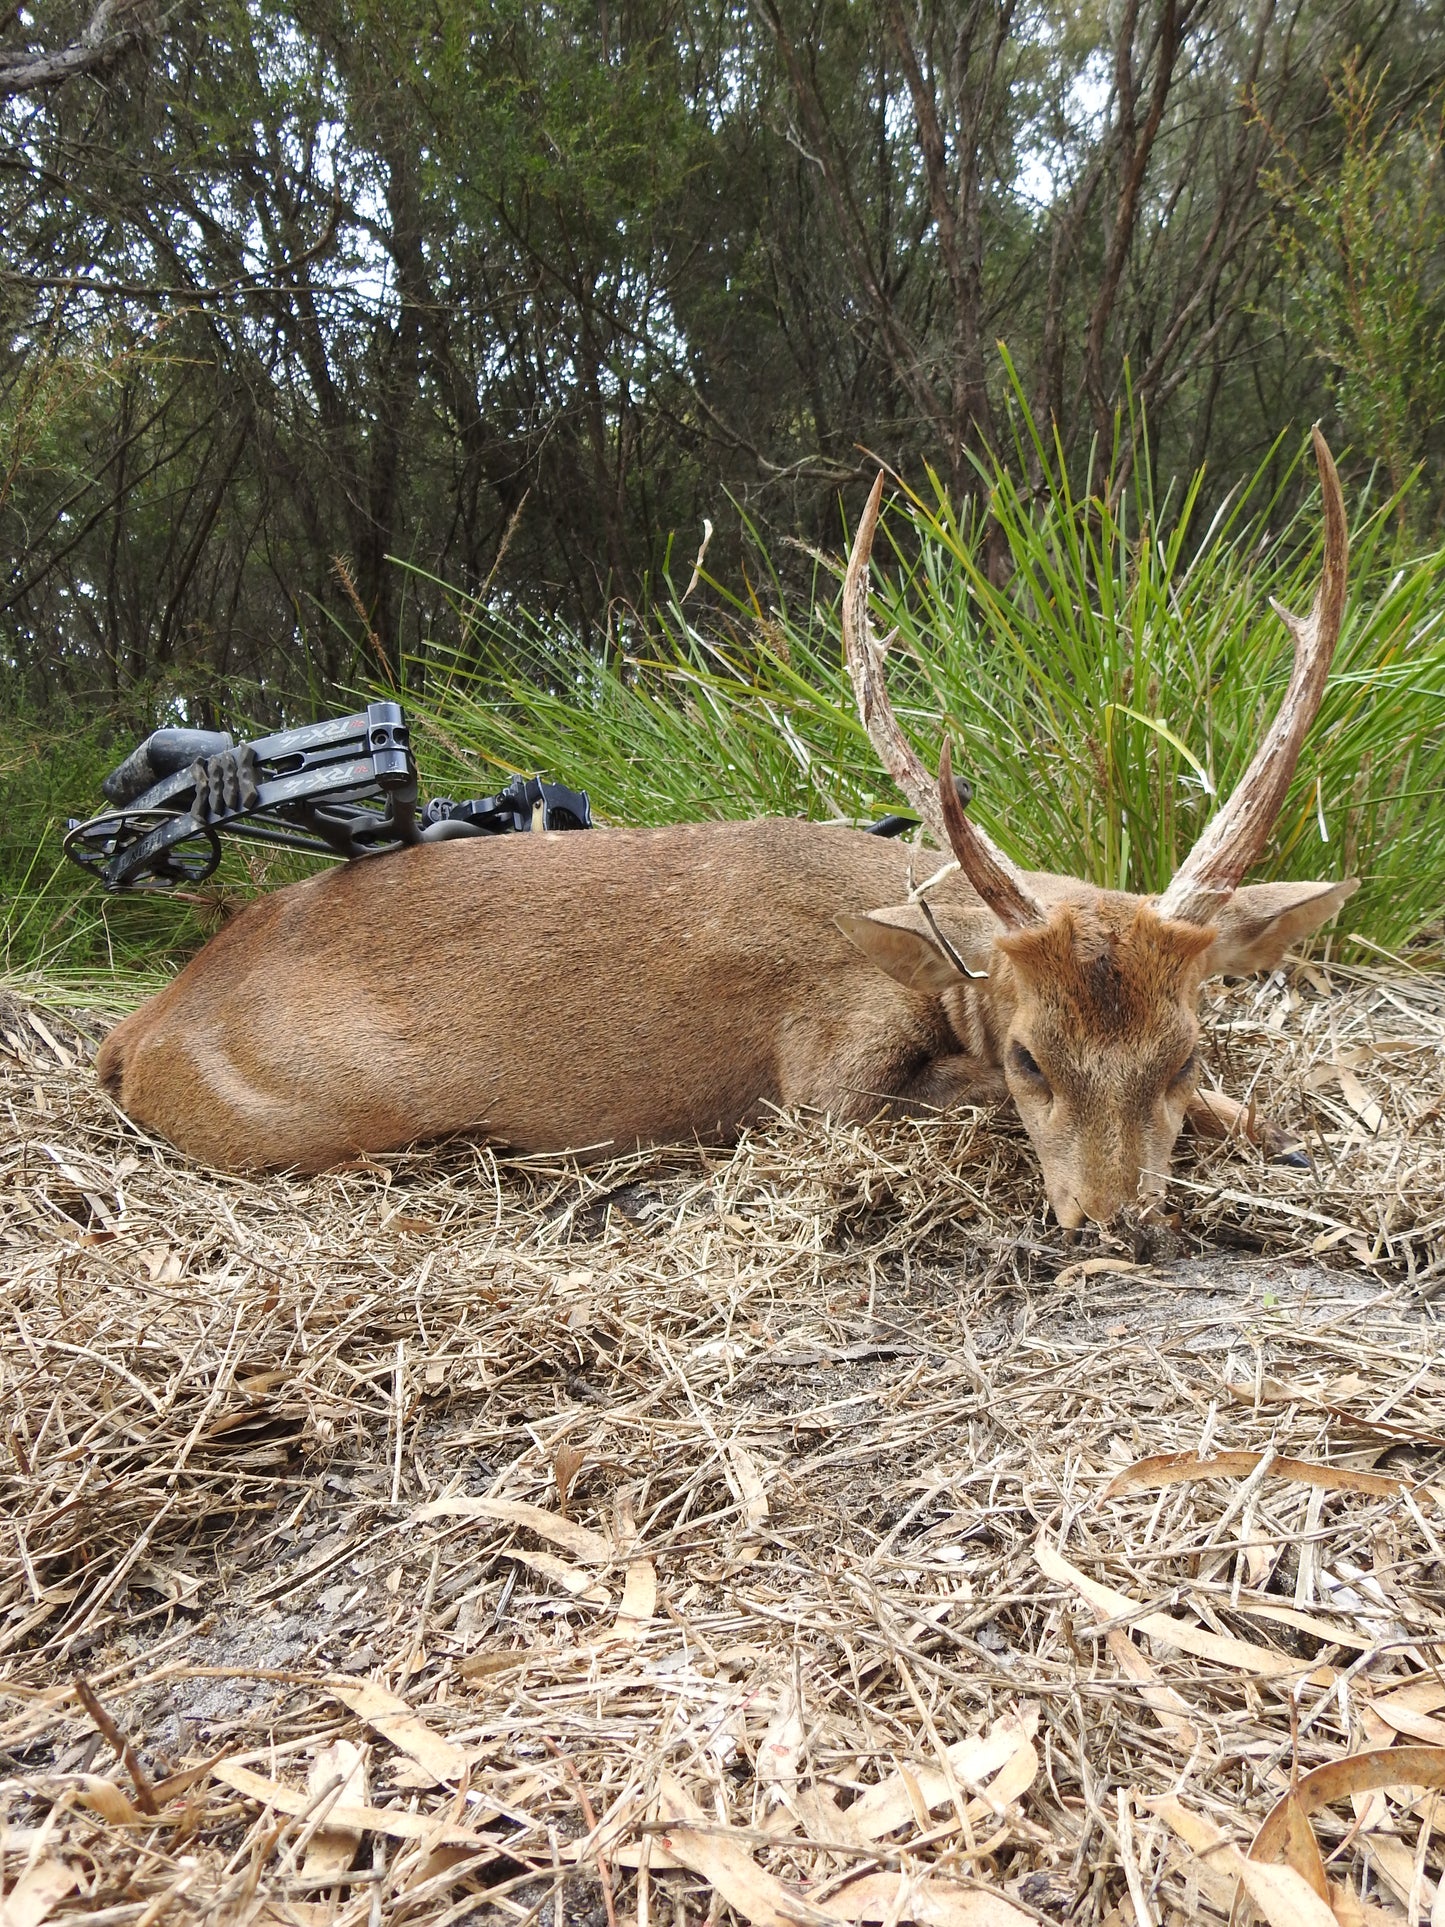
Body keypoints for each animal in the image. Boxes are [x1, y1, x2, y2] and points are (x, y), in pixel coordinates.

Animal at [96, 429, 1354, 1228]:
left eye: (1179, 1049)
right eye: (1031, 1054)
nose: (1110, 1222)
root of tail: (142, 1026)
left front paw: (1270, 1124)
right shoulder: (823, 1078)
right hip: (318, 1114)